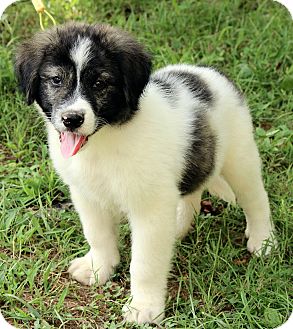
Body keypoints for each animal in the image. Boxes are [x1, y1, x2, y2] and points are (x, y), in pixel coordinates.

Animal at [14, 22, 274, 322]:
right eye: (56, 80)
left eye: (100, 83)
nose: (72, 119)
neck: (105, 139)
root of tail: (209, 73)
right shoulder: (86, 195)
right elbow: (98, 235)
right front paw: (98, 268)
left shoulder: (149, 207)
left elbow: (145, 264)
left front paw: (144, 307)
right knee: (191, 194)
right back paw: (178, 228)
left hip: (239, 157)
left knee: (256, 199)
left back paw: (264, 239)